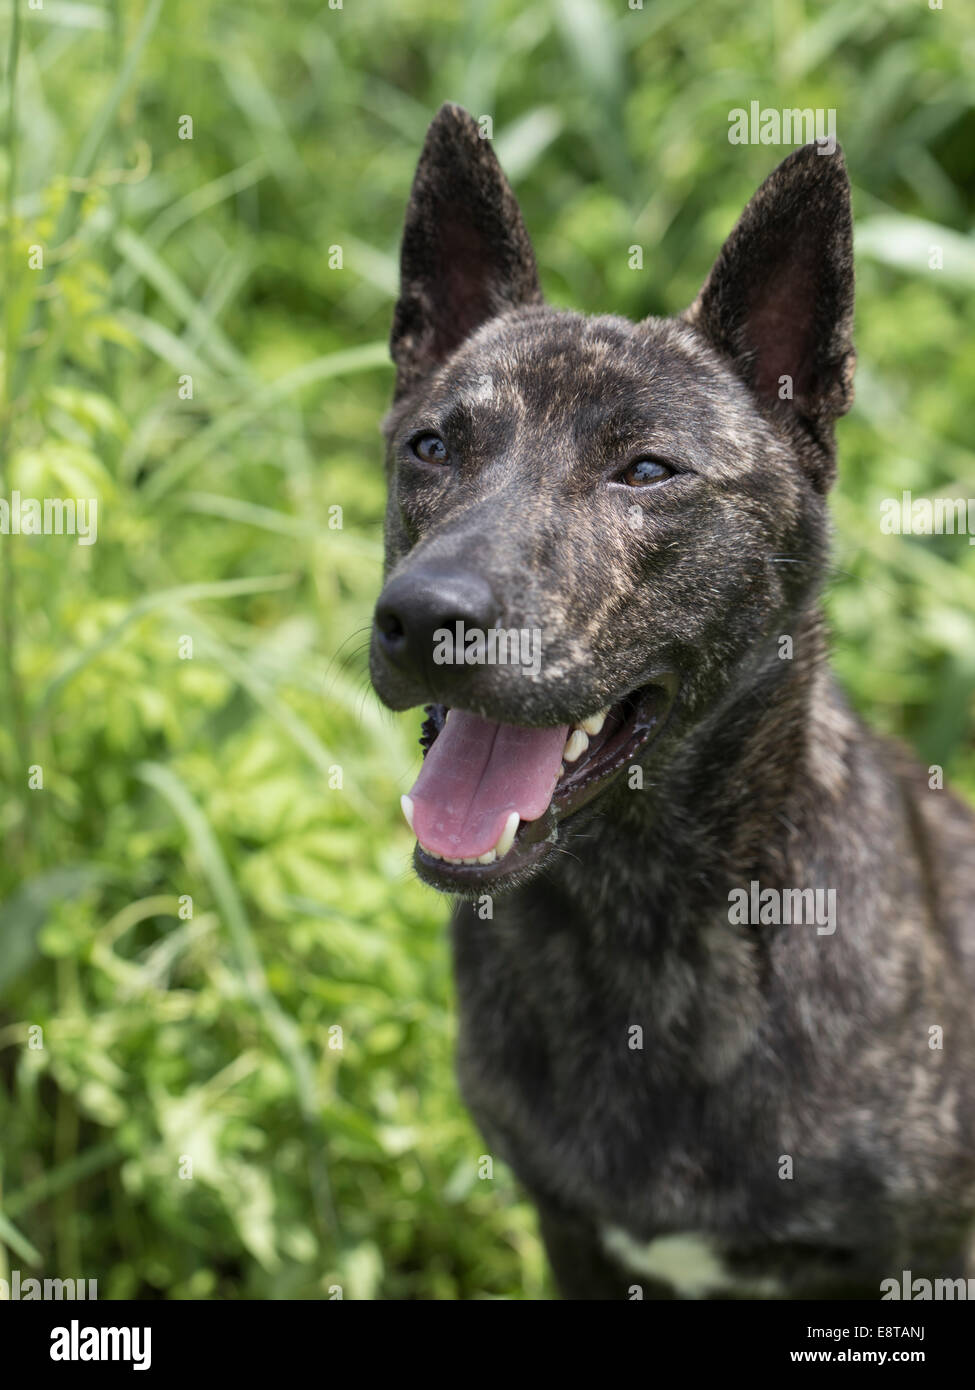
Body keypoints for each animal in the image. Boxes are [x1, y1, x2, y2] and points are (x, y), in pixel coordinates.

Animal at [367, 102, 973, 1295]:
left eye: (647, 472)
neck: (634, 928)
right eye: (431, 445)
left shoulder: (929, 1247)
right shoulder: (568, 1228)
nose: (422, 615)